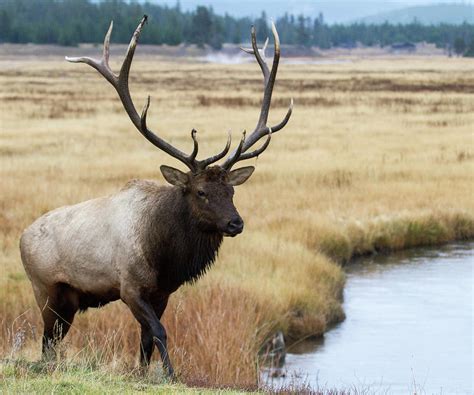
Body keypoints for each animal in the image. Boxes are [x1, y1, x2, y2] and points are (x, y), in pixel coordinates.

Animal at [18, 15, 290, 378]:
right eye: (200, 191)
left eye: (231, 190)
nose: (236, 223)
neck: (164, 255)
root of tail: (22, 236)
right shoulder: (130, 287)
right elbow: (159, 331)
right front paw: (171, 373)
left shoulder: (163, 292)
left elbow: (146, 337)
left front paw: (144, 373)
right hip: (44, 289)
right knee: (47, 339)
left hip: (69, 300)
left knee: (54, 338)